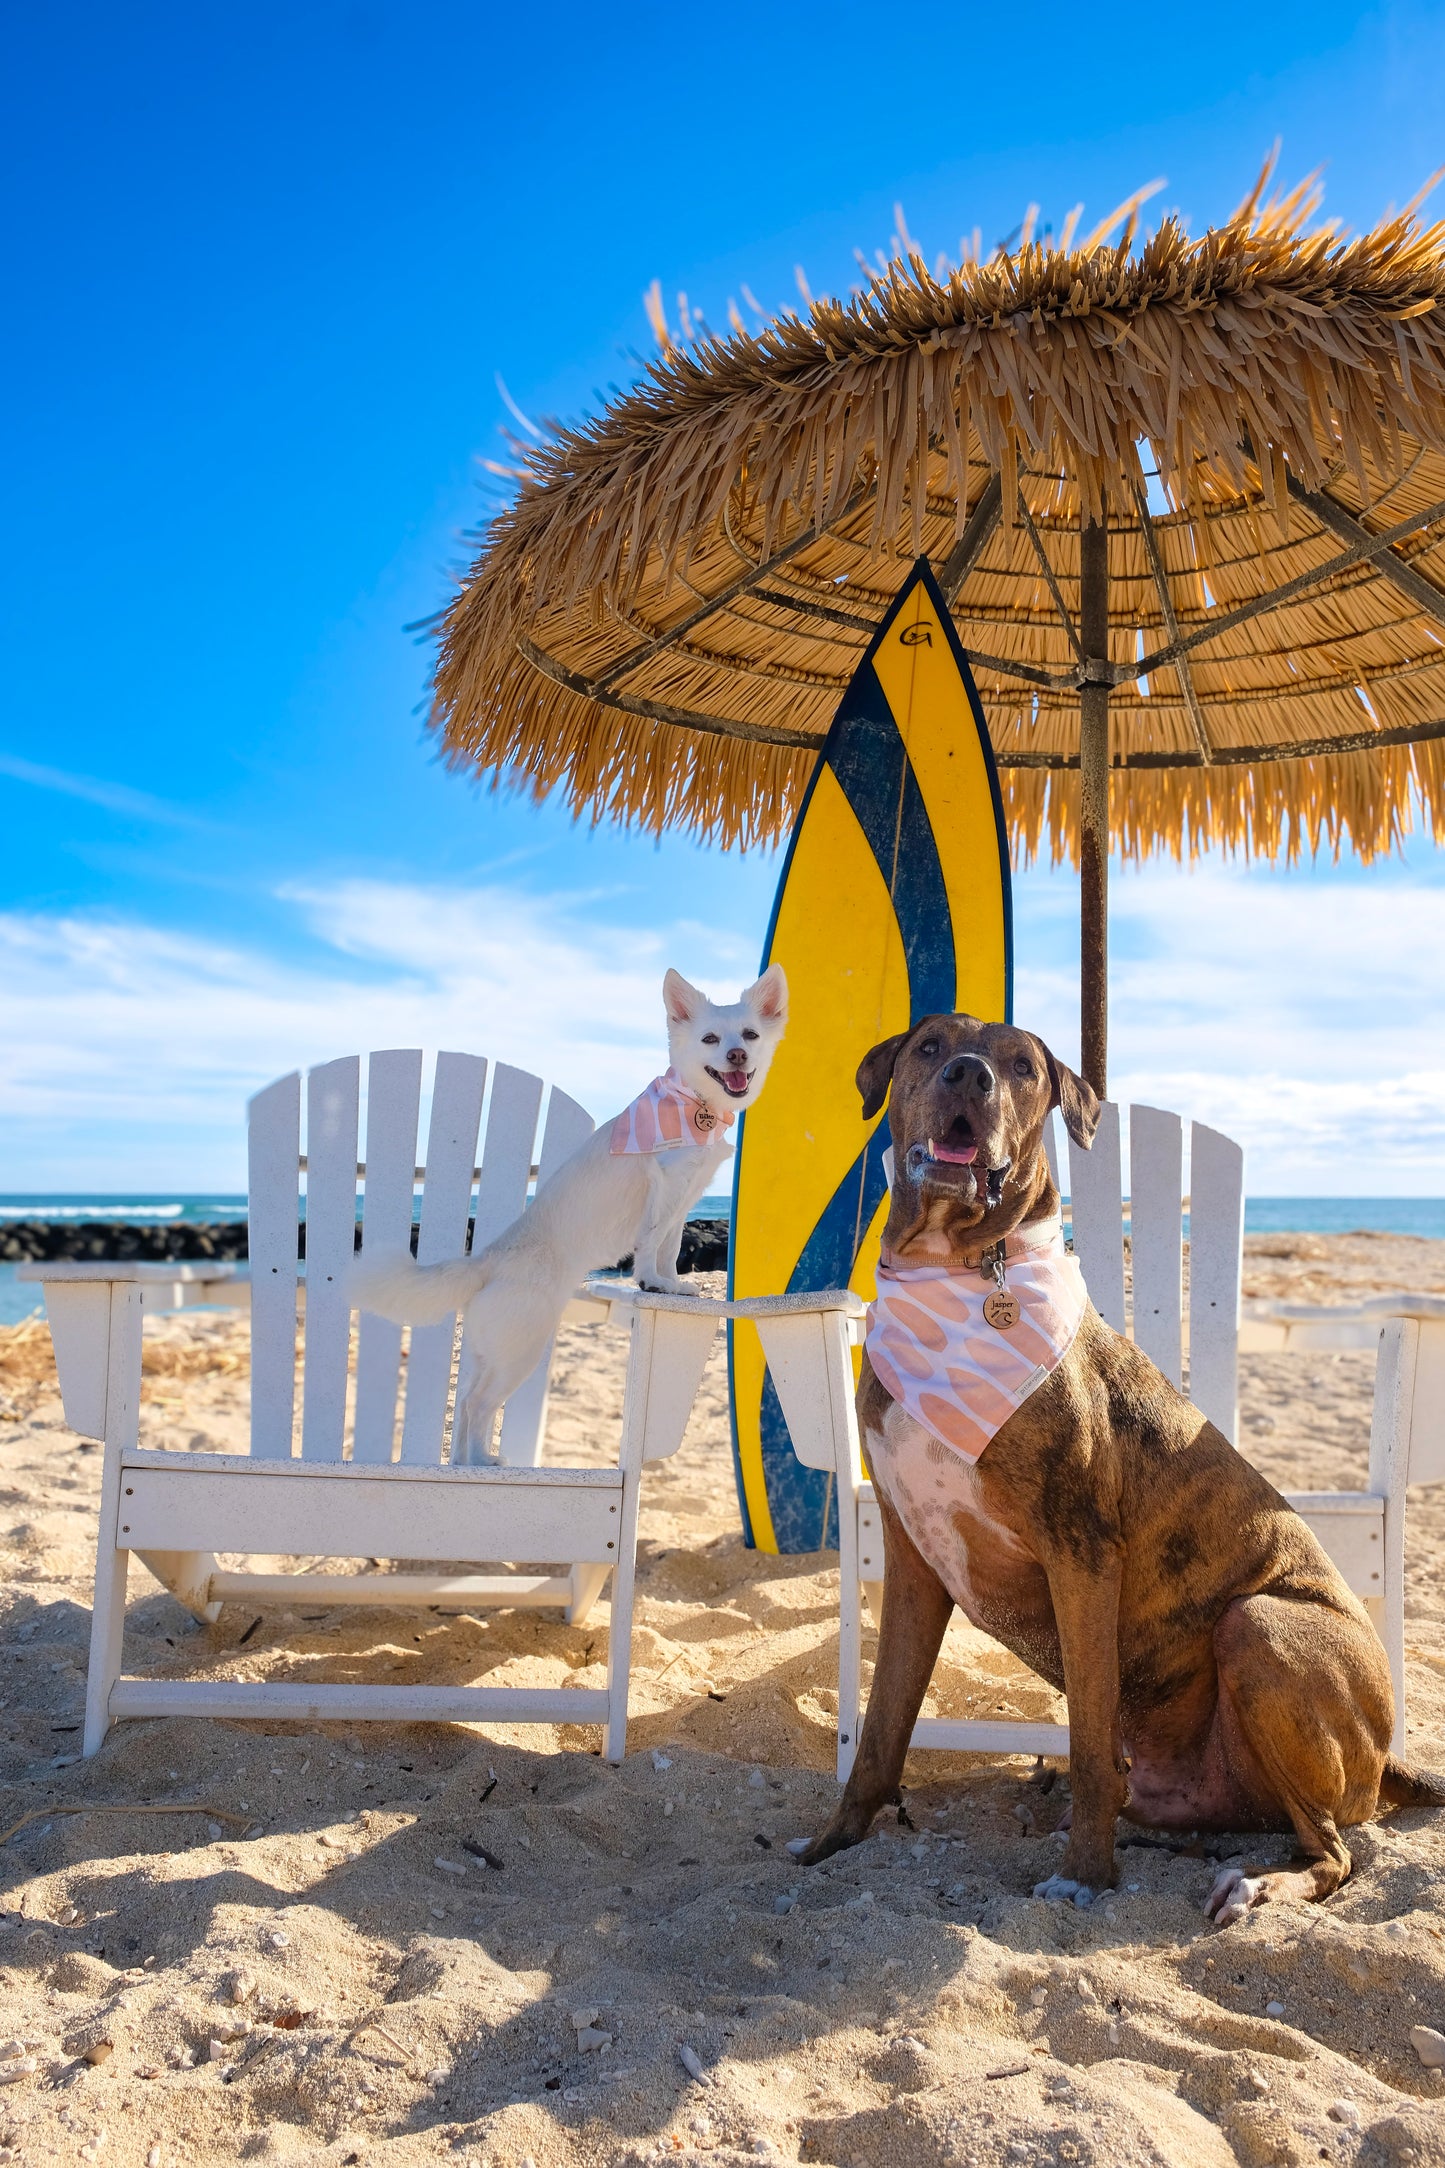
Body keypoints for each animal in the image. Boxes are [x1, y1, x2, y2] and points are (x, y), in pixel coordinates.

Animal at [350, 975, 792, 1465]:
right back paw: (481, 1461)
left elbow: (671, 1247)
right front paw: (651, 1283)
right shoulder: (666, 1186)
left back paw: (473, 1461)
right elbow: (652, 1243)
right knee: (478, 1405)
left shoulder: (685, 1198)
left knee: (465, 1404)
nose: (737, 1055)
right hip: (521, 1351)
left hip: (493, 1354)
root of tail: (487, 1260)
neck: (697, 1105)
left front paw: (673, 1285)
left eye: (749, 1035)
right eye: (711, 1039)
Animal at [801, 1005, 1445, 1925]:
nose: (969, 1075)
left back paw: (1255, 1882)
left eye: (1023, 1068)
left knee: (1333, 1852)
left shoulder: (1081, 1557)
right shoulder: (915, 1561)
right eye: (930, 1047)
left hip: (1259, 1627)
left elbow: (1089, 1742)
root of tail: (1387, 1758)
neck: (958, 1267)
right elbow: (882, 1730)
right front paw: (830, 1849)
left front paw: (1083, 1874)